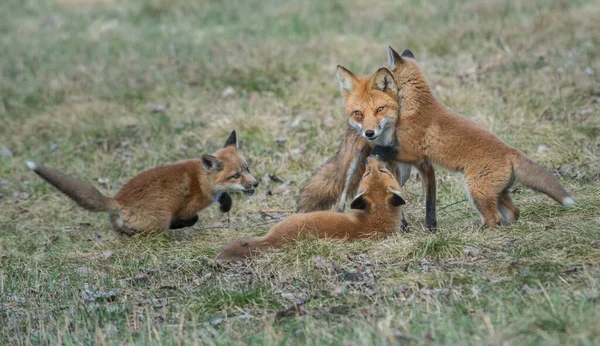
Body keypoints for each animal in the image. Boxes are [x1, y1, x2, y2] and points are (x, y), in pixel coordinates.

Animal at [26, 130, 258, 235]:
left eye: (247, 168)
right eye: (235, 175)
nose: (255, 184)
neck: (202, 180)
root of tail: (118, 201)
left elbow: (225, 197)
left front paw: (225, 204)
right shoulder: (186, 209)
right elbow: (192, 219)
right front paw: (179, 225)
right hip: (159, 218)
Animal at [298, 66, 436, 231]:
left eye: (380, 109)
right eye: (359, 113)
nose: (369, 133)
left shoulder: (423, 164)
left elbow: (429, 201)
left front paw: (431, 228)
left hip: (404, 171)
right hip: (353, 162)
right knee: (341, 200)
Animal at [384, 47, 576, 227]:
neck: (416, 105)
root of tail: (510, 150)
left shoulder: (412, 150)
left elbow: (391, 151)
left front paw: (379, 151)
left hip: (476, 189)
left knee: (493, 218)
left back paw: (481, 229)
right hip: (496, 192)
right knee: (514, 212)